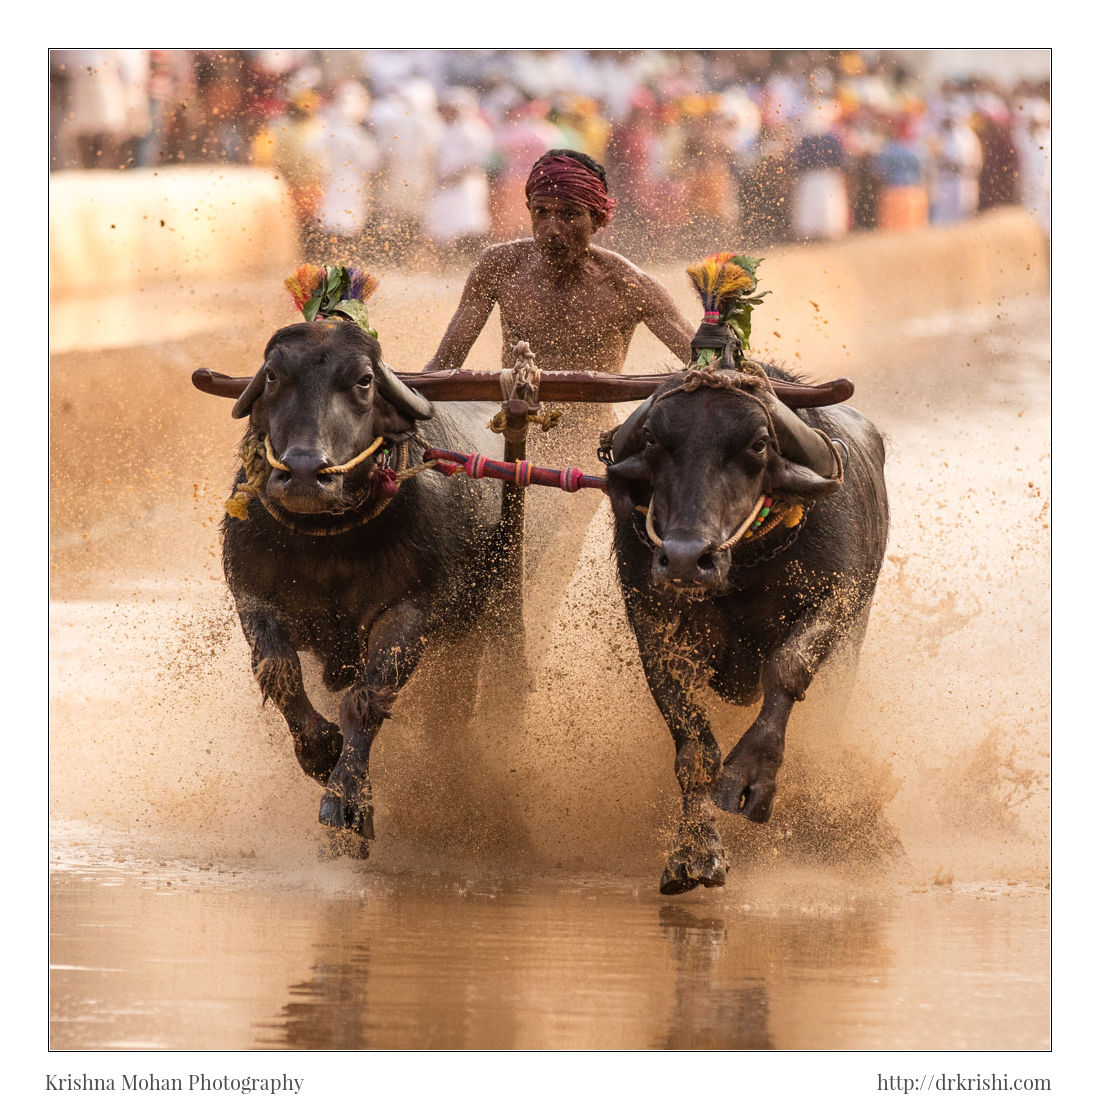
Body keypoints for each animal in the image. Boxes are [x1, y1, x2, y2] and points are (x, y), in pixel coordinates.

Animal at [219, 317, 508, 852]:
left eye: (364, 381)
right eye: (271, 375)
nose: (305, 474)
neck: (329, 546)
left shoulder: (409, 611)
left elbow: (366, 699)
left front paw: (347, 799)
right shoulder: (252, 598)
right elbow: (281, 675)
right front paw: (320, 751)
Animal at [603, 368, 887, 896]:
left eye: (758, 444)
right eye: (651, 439)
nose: (685, 559)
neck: (746, 564)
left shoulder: (837, 599)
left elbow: (788, 666)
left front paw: (752, 775)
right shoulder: (652, 622)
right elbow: (694, 746)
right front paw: (695, 851)